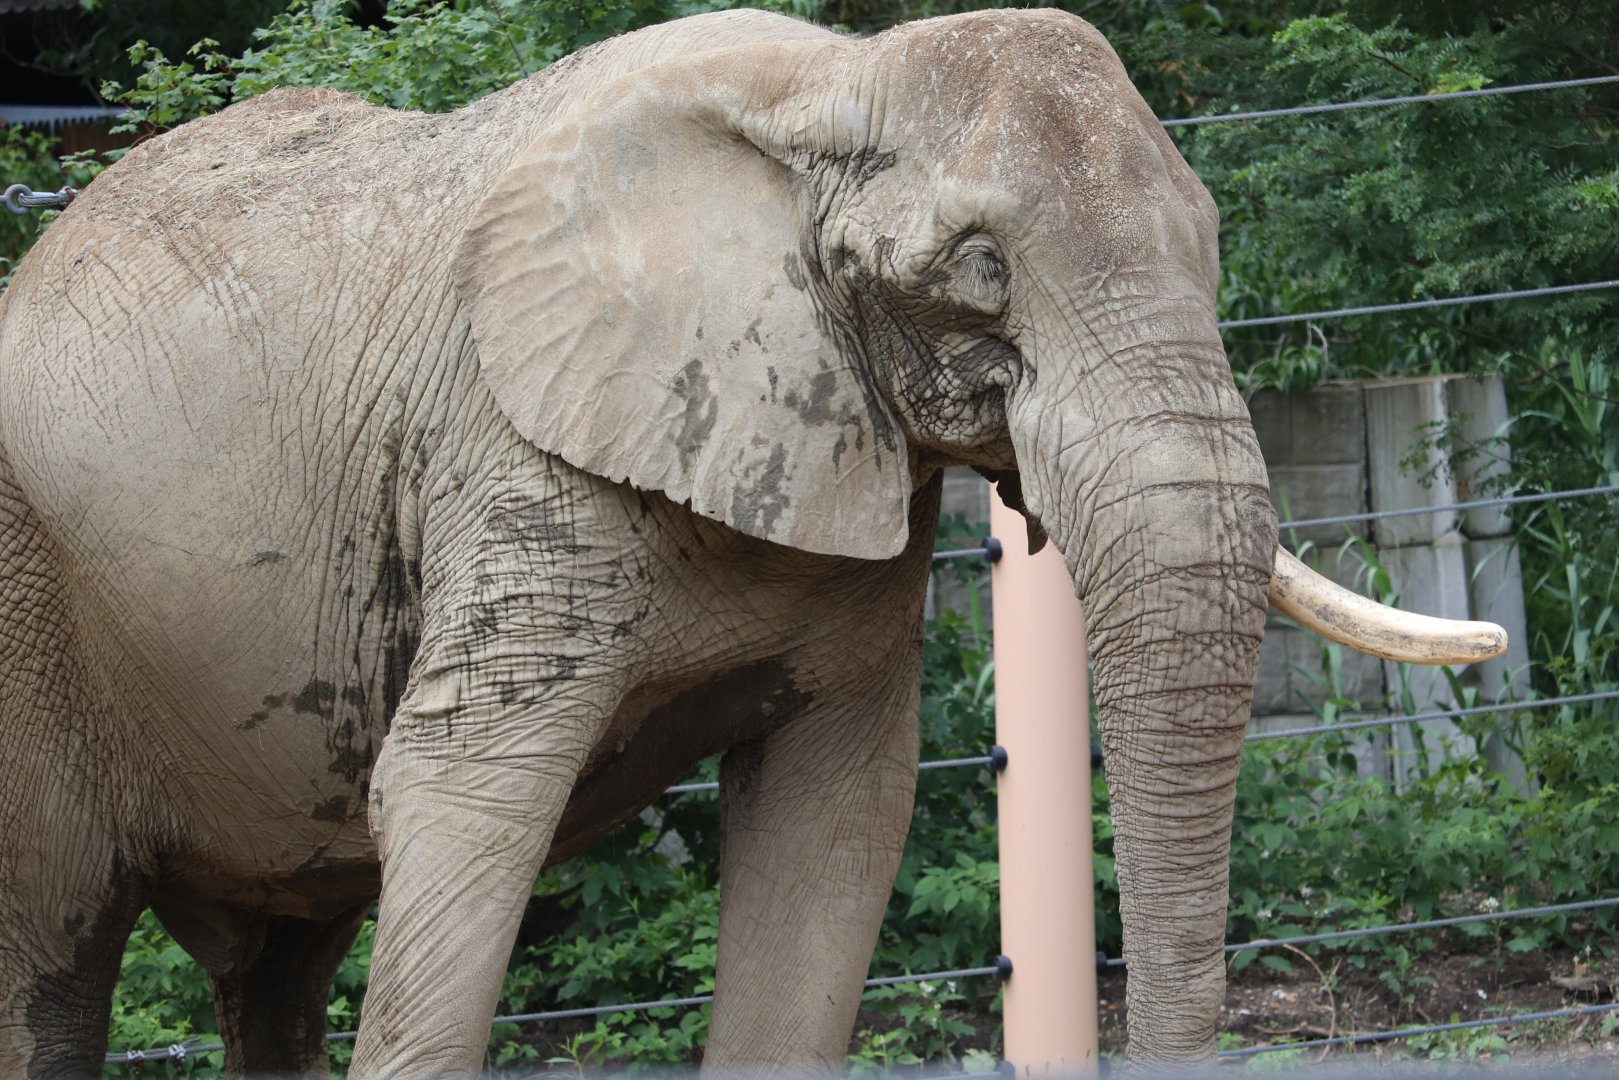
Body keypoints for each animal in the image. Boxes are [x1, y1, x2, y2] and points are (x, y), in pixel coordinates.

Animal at [0, 7, 1504, 1077]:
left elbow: (837, 816)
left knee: (273, 974)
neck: (836, 86)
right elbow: (459, 799)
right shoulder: (512, 450)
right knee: (55, 963)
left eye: (1208, 240)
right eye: (980, 269)